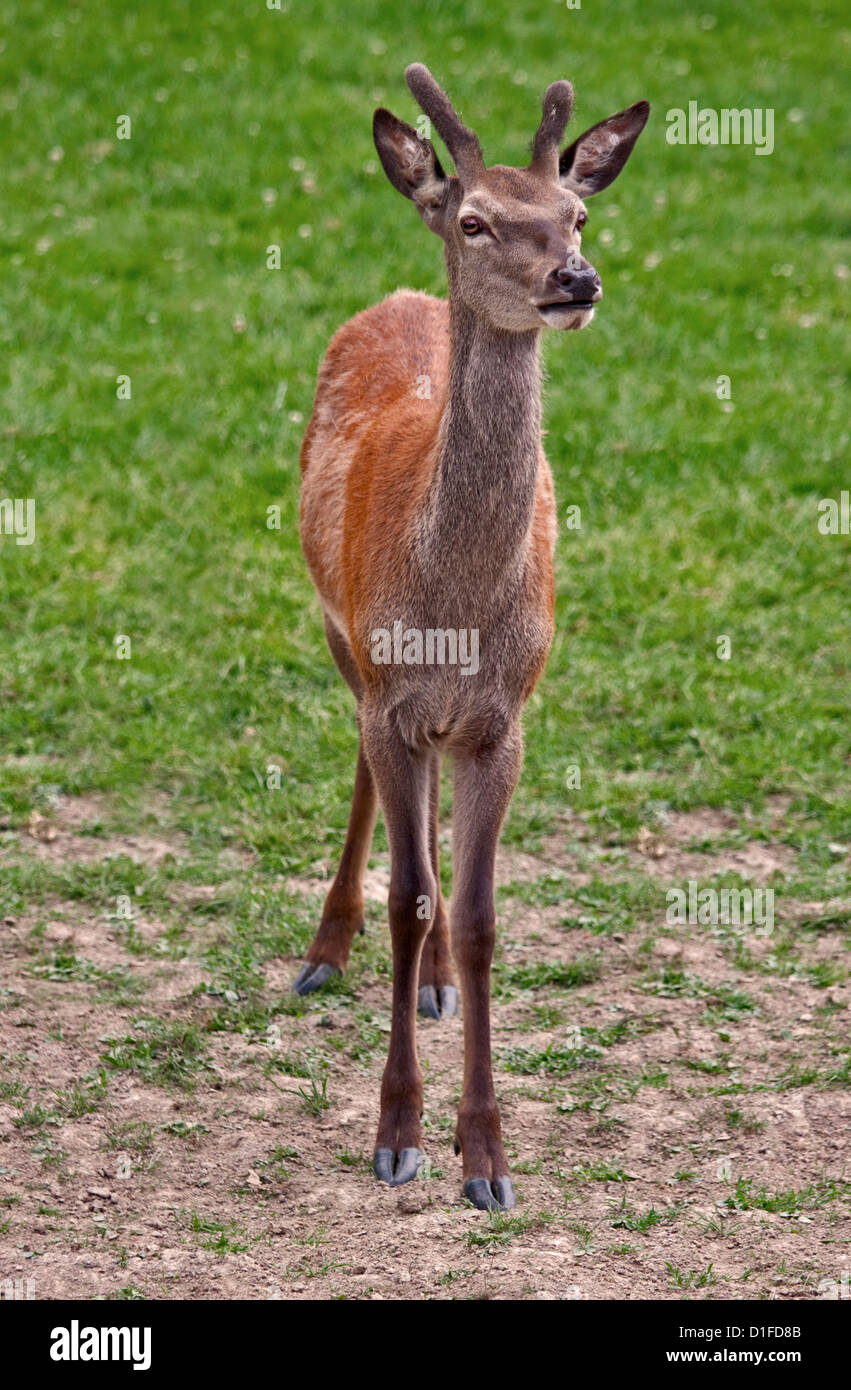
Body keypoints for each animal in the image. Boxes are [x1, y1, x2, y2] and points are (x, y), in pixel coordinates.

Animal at [294, 64, 648, 1210]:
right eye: (476, 219)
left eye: (577, 213)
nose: (575, 278)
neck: (450, 603)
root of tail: (403, 299)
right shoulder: (393, 697)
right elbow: (406, 898)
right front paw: (397, 1135)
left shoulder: (503, 719)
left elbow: (484, 916)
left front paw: (486, 1154)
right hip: (339, 636)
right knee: (363, 783)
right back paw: (324, 949)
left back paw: (437, 984)